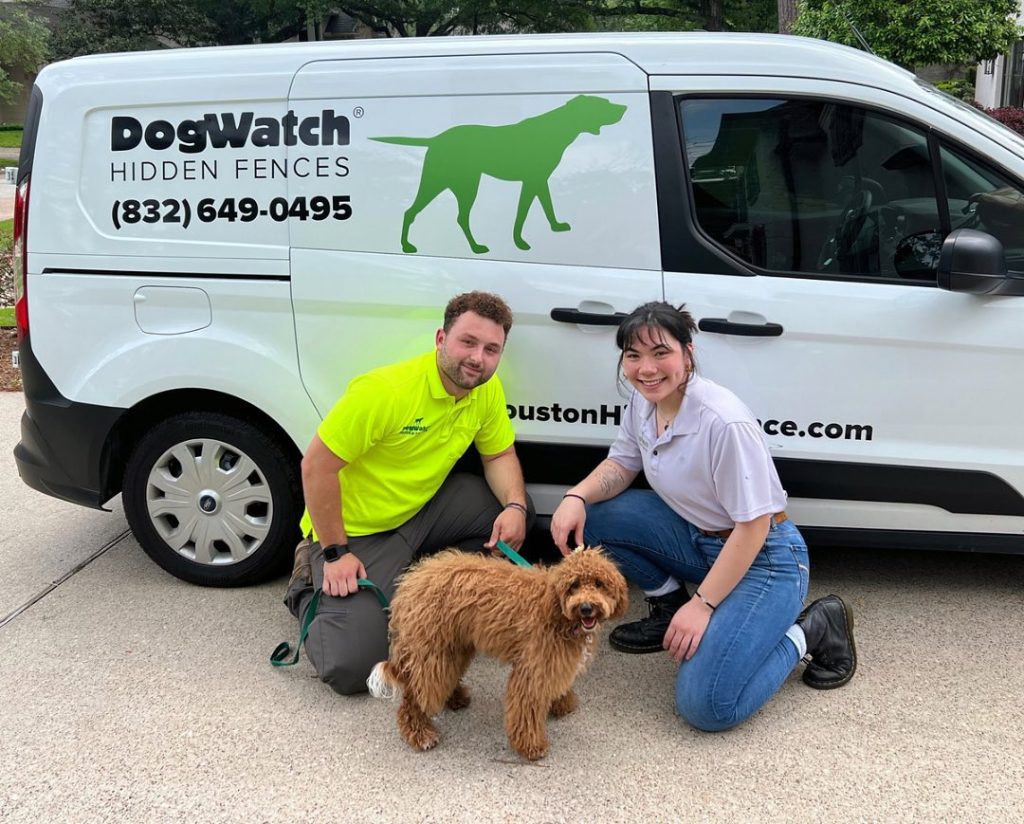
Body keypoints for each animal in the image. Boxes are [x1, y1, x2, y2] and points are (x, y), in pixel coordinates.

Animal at [366, 544, 622, 757]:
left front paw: (562, 702)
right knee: (414, 696)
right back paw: (420, 734)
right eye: (574, 585)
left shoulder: (553, 661)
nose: (586, 607)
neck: (555, 608)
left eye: (599, 583)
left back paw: (455, 698)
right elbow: (526, 710)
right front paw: (531, 746)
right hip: (432, 651)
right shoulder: (532, 668)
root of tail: (409, 582)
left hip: (453, 648)